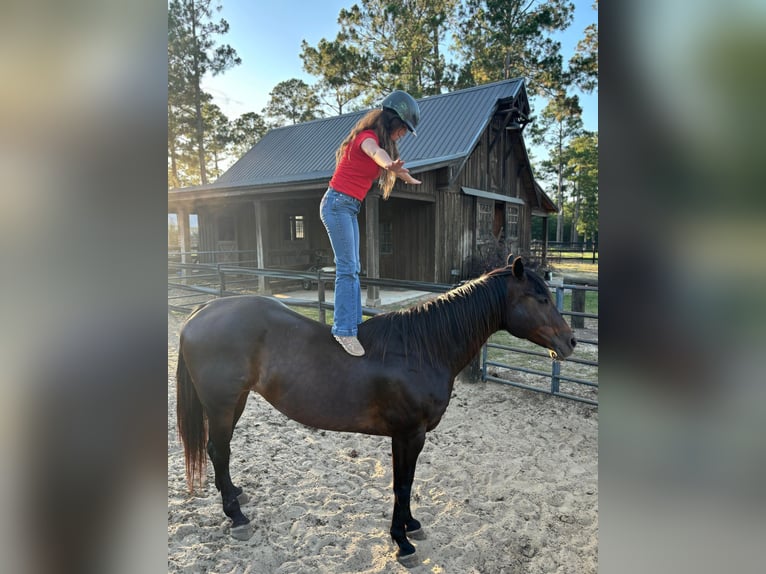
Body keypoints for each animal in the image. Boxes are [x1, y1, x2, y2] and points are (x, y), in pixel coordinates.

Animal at [177, 258, 576, 568]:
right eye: (541, 298)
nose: (570, 341)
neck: (422, 350)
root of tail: (199, 313)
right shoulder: (408, 434)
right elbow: (402, 484)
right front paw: (402, 542)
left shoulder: (410, 437)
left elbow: (408, 483)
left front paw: (411, 525)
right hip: (222, 404)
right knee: (219, 451)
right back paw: (237, 517)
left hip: (236, 401)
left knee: (219, 452)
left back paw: (235, 496)